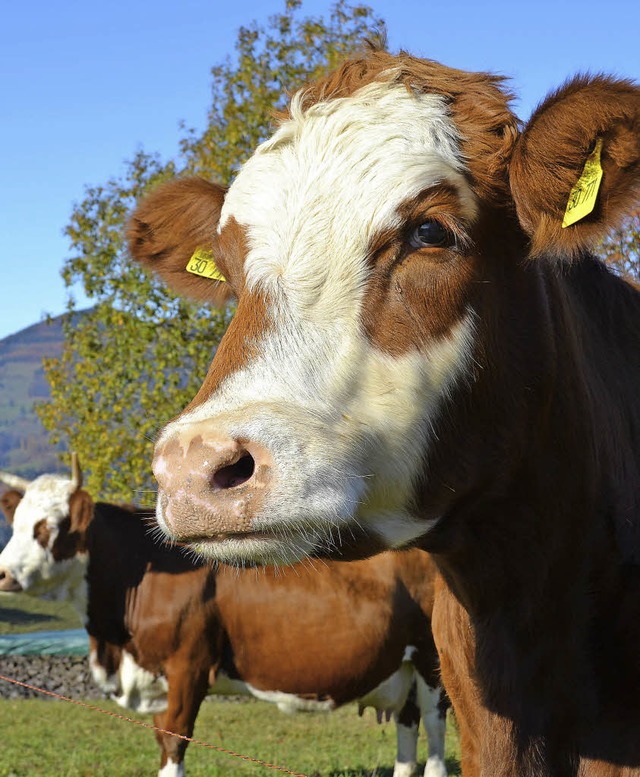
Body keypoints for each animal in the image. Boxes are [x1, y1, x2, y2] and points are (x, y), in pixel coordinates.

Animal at [0, 460, 450, 776]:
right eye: (16, 524)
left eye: (51, 526)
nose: (4, 573)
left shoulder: (189, 665)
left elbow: (173, 741)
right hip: (402, 666)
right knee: (408, 727)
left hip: (431, 659)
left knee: (434, 726)